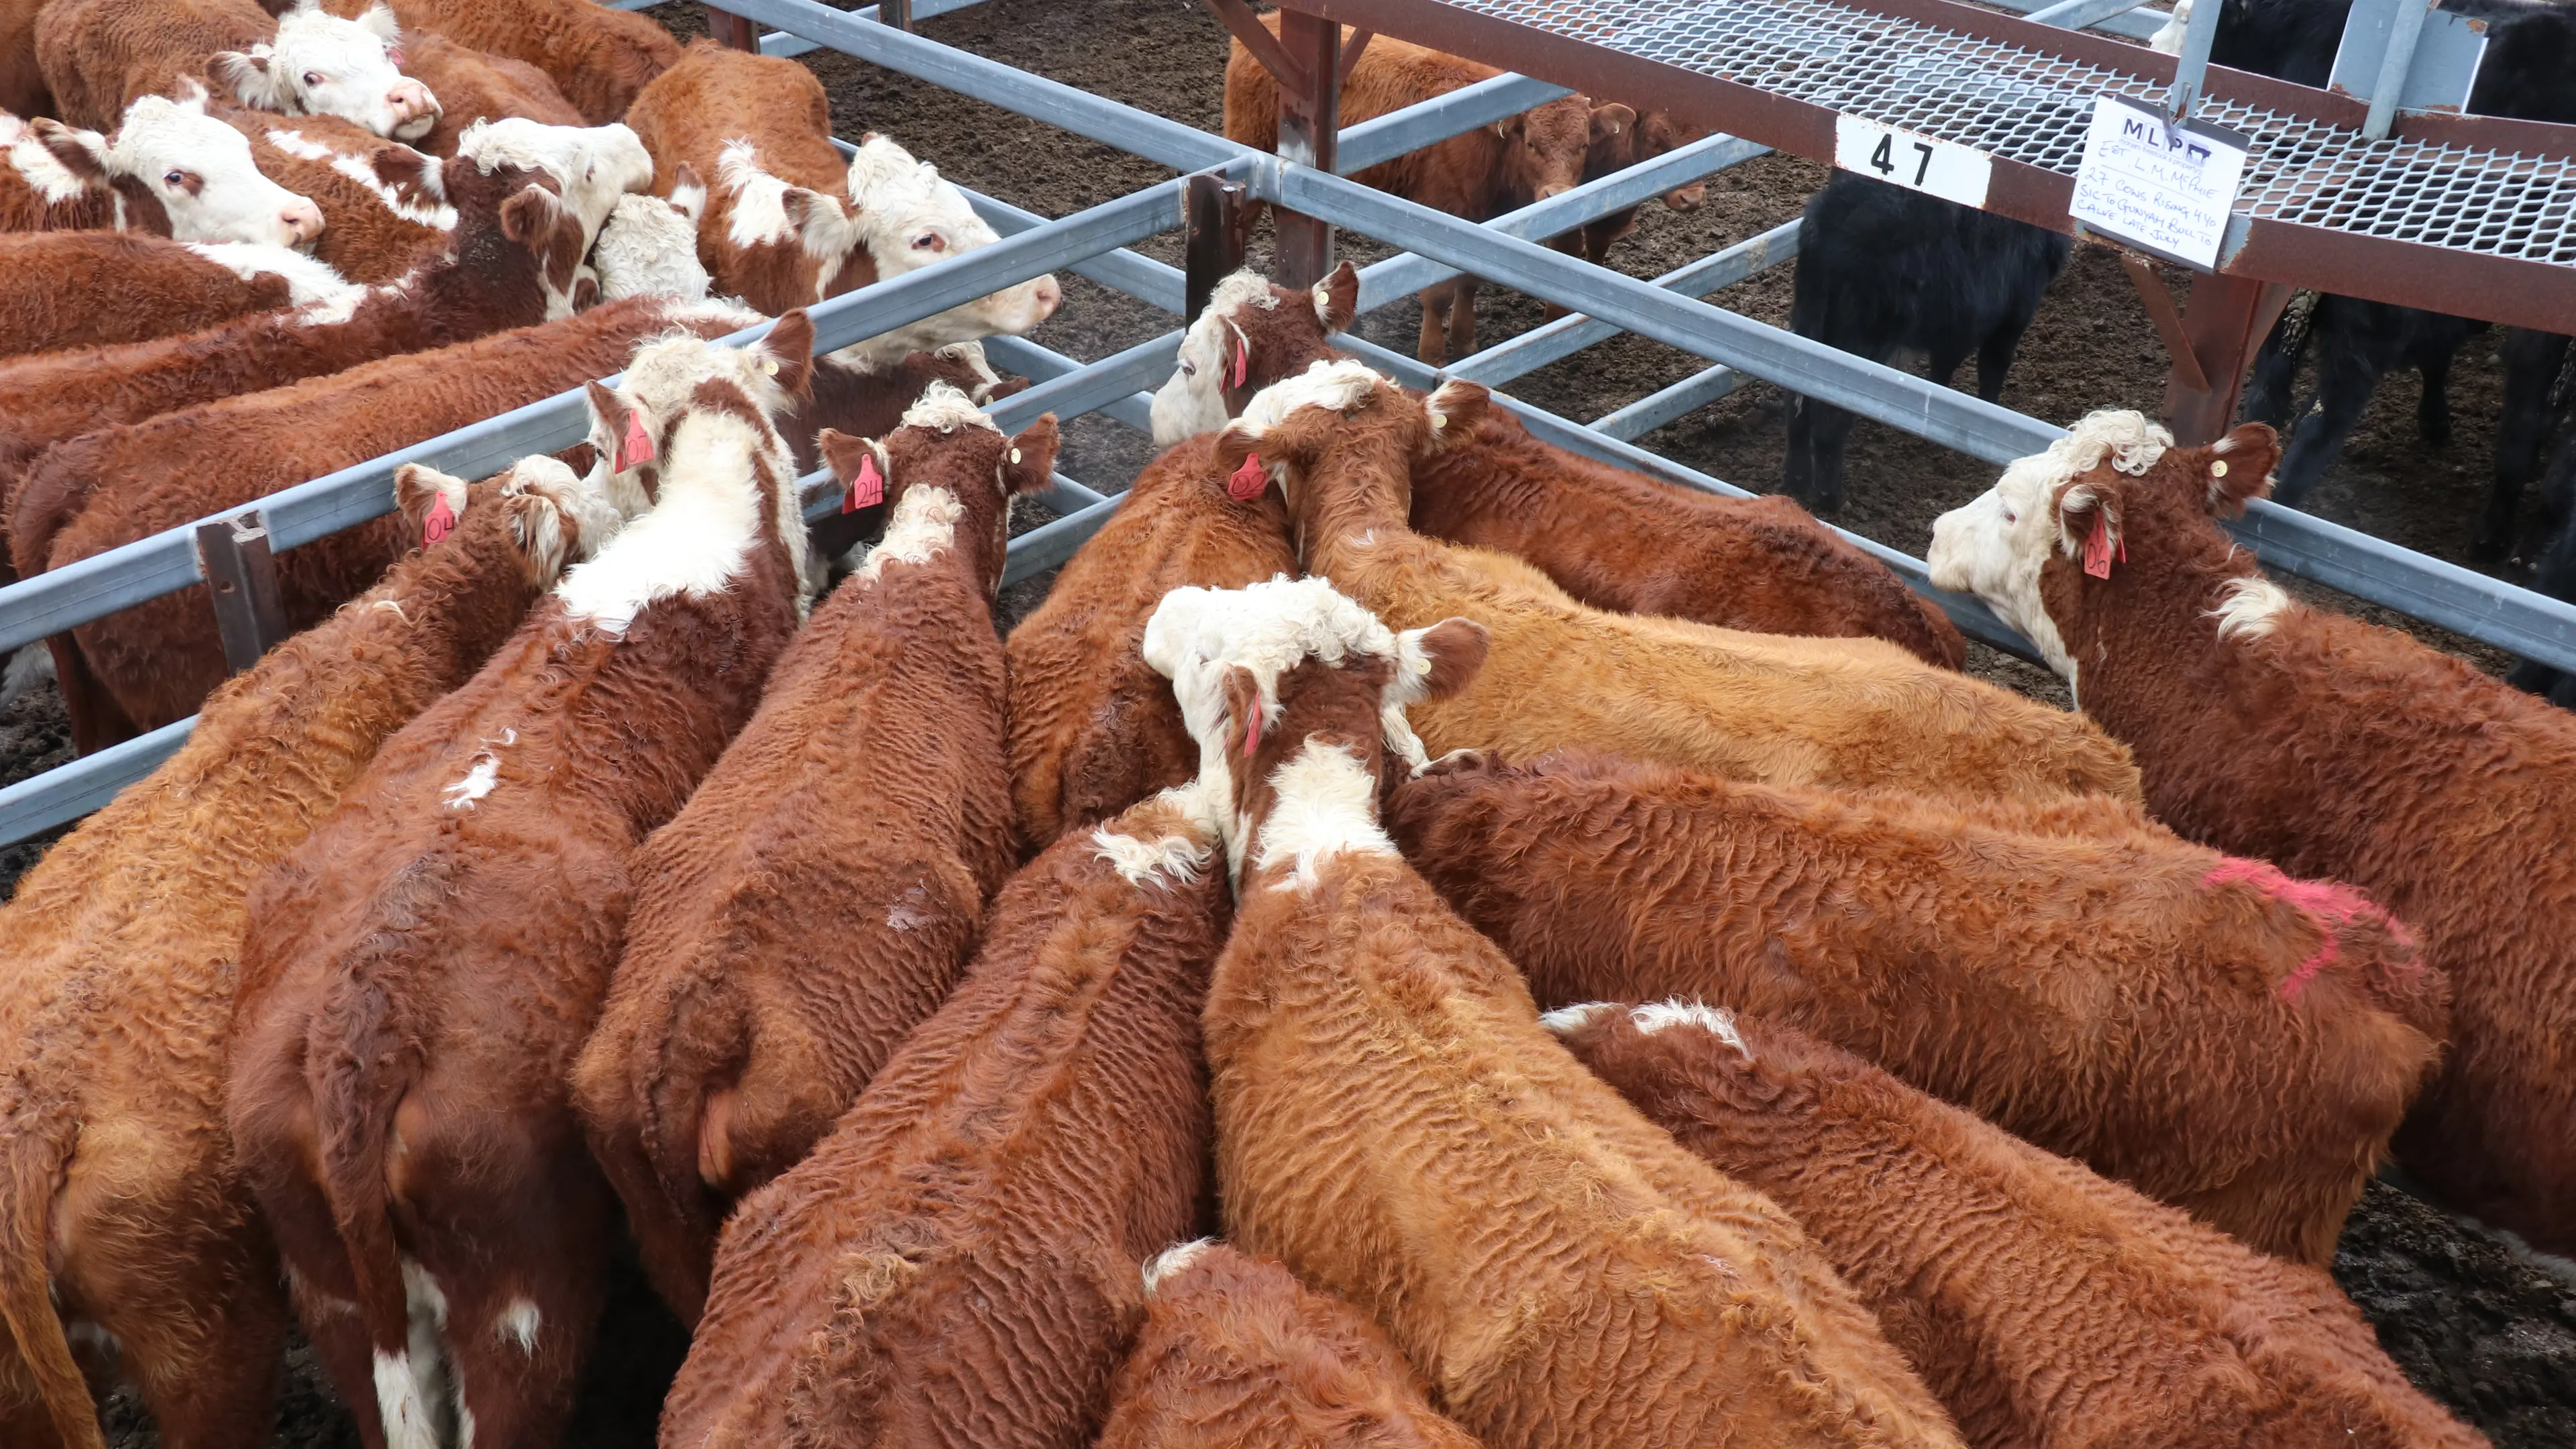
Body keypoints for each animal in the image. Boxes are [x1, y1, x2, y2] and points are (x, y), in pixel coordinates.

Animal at [1223, 15, 1630, 363]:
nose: (1557, 195)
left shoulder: (1482, 226)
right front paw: (1433, 355)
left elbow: (1469, 282)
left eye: (1583, 145)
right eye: (1531, 143)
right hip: (1248, 142)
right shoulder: (1441, 216)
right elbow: (1437, 294)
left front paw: (1465, 341)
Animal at [1782, 172, 2071, 515]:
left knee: (1797, 404)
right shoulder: (2014, 311)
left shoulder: (1957, 321)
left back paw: (1795, 485)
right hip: (1860, 339)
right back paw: (1833, 500)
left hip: (1808, 320)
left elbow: (1942, 370)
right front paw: (1988, 413)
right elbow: (1993, 366)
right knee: (1829, 420)